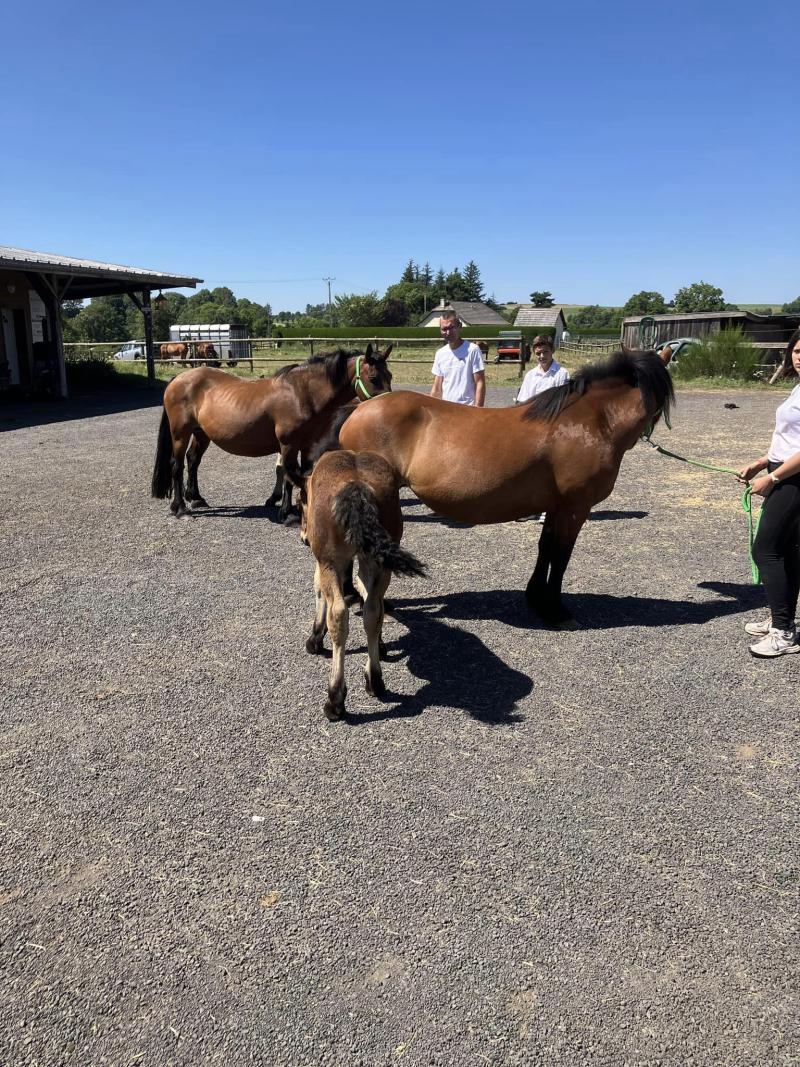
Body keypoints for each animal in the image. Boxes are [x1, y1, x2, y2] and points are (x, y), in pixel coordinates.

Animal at [151, 345, 394, 520]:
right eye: (373, 378)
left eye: (390, 376)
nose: (387, 406)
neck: (302, 394)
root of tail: (178, 379)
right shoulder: (288, 444)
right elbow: (287, 473)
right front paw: (286, 512)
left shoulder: (305, 445)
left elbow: (297, 474)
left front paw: (297, 507)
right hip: (180, 433)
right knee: (177, 466)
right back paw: (180, 508)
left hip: (201, 434)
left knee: (193, 461)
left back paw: (196, 498)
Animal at [300, 446, 426, 721]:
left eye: (301, 504)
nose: (303, 537)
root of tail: (356, 487)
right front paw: (381, 647)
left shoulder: (324, 561)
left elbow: (319, 590)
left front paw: (315, 638)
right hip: (378, 561)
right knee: (373, 611)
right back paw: (375, 680)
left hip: (331, 560)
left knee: (339, 614)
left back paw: (335, 698)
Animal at [339, 345, 678, 627]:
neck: (591, 421)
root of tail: (356, 412)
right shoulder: (574, 508)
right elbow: (561, 555)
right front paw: (557, 610)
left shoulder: (555, 507)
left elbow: (546, 548)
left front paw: (536, 599)